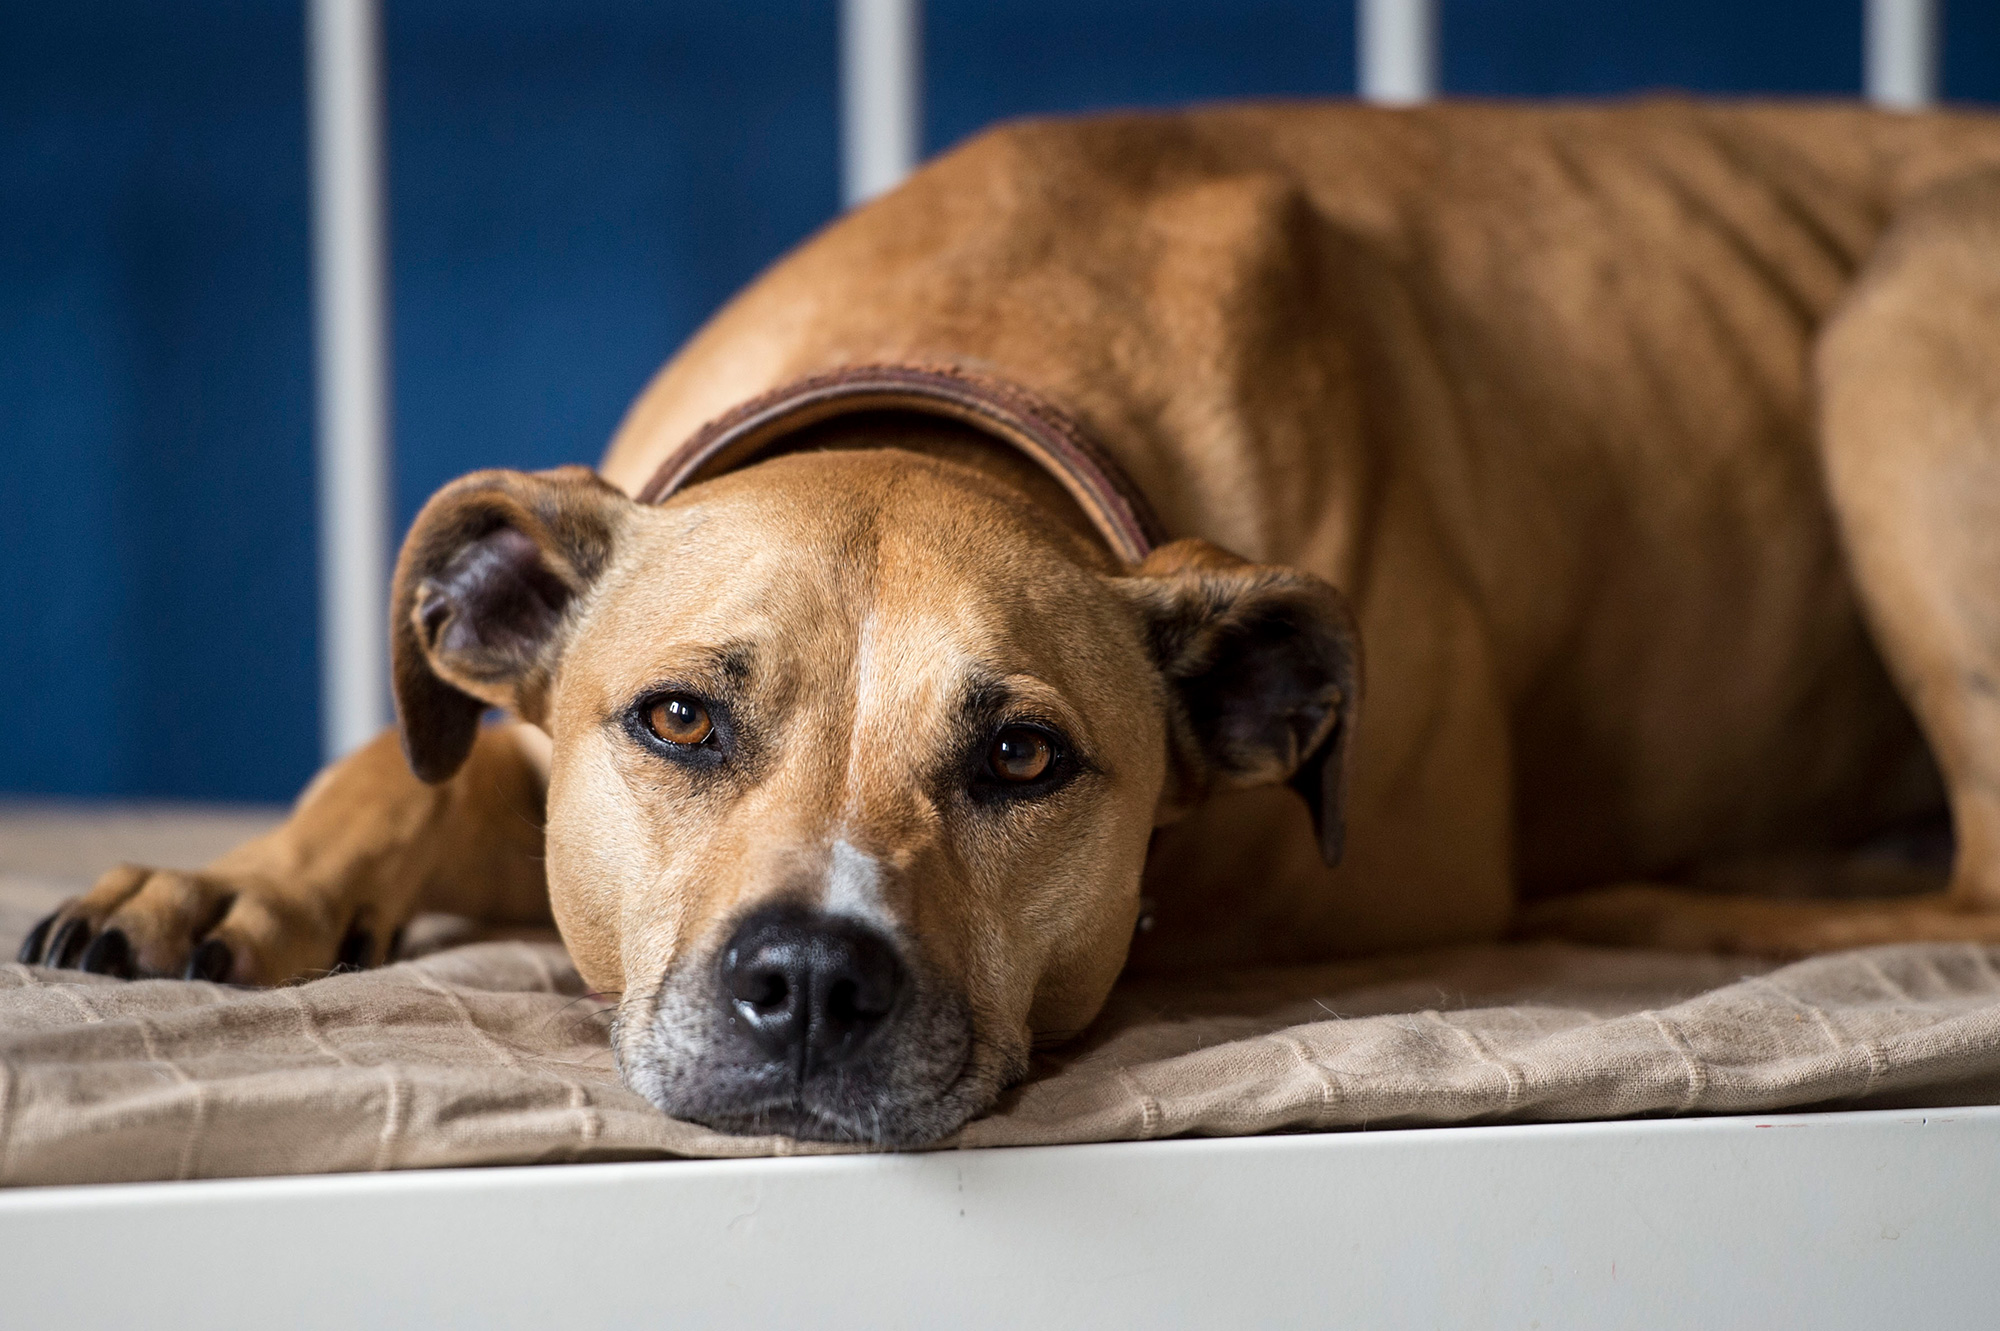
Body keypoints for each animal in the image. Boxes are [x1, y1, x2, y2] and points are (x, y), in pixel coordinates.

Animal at [23, 100, 2000, 1143]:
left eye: (1025, 758)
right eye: (677, 720)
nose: (812, 981)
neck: (959, 374)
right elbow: (399, 763)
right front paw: (225, 884)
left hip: (1892, 333)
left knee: (1967, 882)